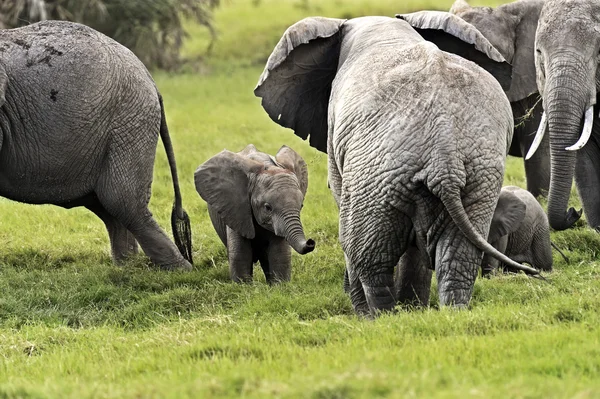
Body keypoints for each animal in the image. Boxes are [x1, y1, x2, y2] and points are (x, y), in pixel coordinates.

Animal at [0, 22, 192, 272]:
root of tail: (149, 78)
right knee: (106, 206)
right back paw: (126, 266)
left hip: (128, 121)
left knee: (121, 200)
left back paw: (180, 270)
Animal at [193, 145, 316, 282]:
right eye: (267, 207)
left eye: (301, 206)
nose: (311, 242)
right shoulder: (236, 209)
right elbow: (240, 255)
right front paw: (243, 286)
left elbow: (280, 254)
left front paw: (280, 285)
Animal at [253, 10, 540, 318]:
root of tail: (445, 156)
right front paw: (414, 308)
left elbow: (341, 197)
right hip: (477, 174)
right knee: (458, 254)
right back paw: (450, 313)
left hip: (378, 174)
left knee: (367, 254)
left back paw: (377, 317)